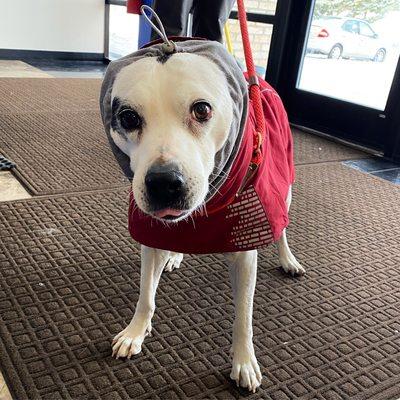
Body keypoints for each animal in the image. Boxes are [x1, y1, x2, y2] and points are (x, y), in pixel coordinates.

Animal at [99, 36, 304, 392]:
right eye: (127, 118)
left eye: (202, 109)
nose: (164, 183)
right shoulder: (150, 236)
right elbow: (146, 294)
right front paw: (136, 331)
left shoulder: (244, 253)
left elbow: (243, 316)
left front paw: (244, 361)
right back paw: (175, 256)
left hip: (285, 186)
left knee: (281, 227)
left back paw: (287, 259)